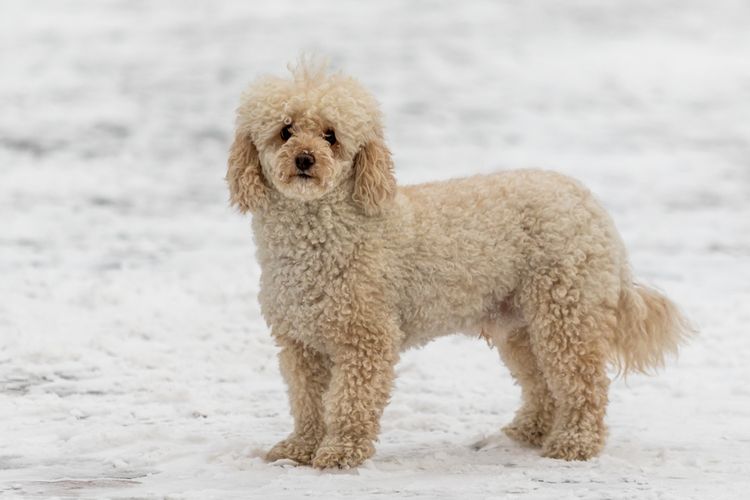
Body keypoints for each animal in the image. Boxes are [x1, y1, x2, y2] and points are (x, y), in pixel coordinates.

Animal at [225, 61, 692, 468]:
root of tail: (591, 203)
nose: (305, 159)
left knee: (584, 383)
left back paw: (575, 443)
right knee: (541, 383)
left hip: (565, 311)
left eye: (331, 135)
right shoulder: (300, 343)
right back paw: (527, 431)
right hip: (520, 324)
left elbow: (349, 402)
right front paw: (299, 447)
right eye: (285, 131)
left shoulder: (367, 339)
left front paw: (341, 452)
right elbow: (306, 402)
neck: (320, 235)